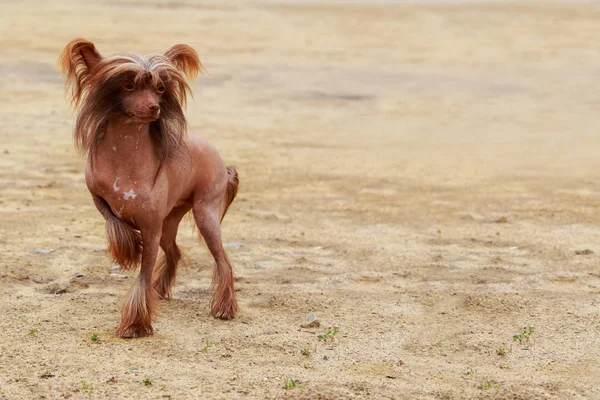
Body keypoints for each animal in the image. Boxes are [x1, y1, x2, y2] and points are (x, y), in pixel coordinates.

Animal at [59, 39, 239, 338]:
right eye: (128, 85)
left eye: (160, 88)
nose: (155, 107)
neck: (125, 157)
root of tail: (221, 161)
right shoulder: (97, 194)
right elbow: (112, 219)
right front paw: (129, 246)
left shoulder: (151, 228)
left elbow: (143, 273)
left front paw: (135, 323)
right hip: (170, 221)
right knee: (174, 252)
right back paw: (160, 288)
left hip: (205, 214)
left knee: (222, 259)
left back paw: (225, 307)